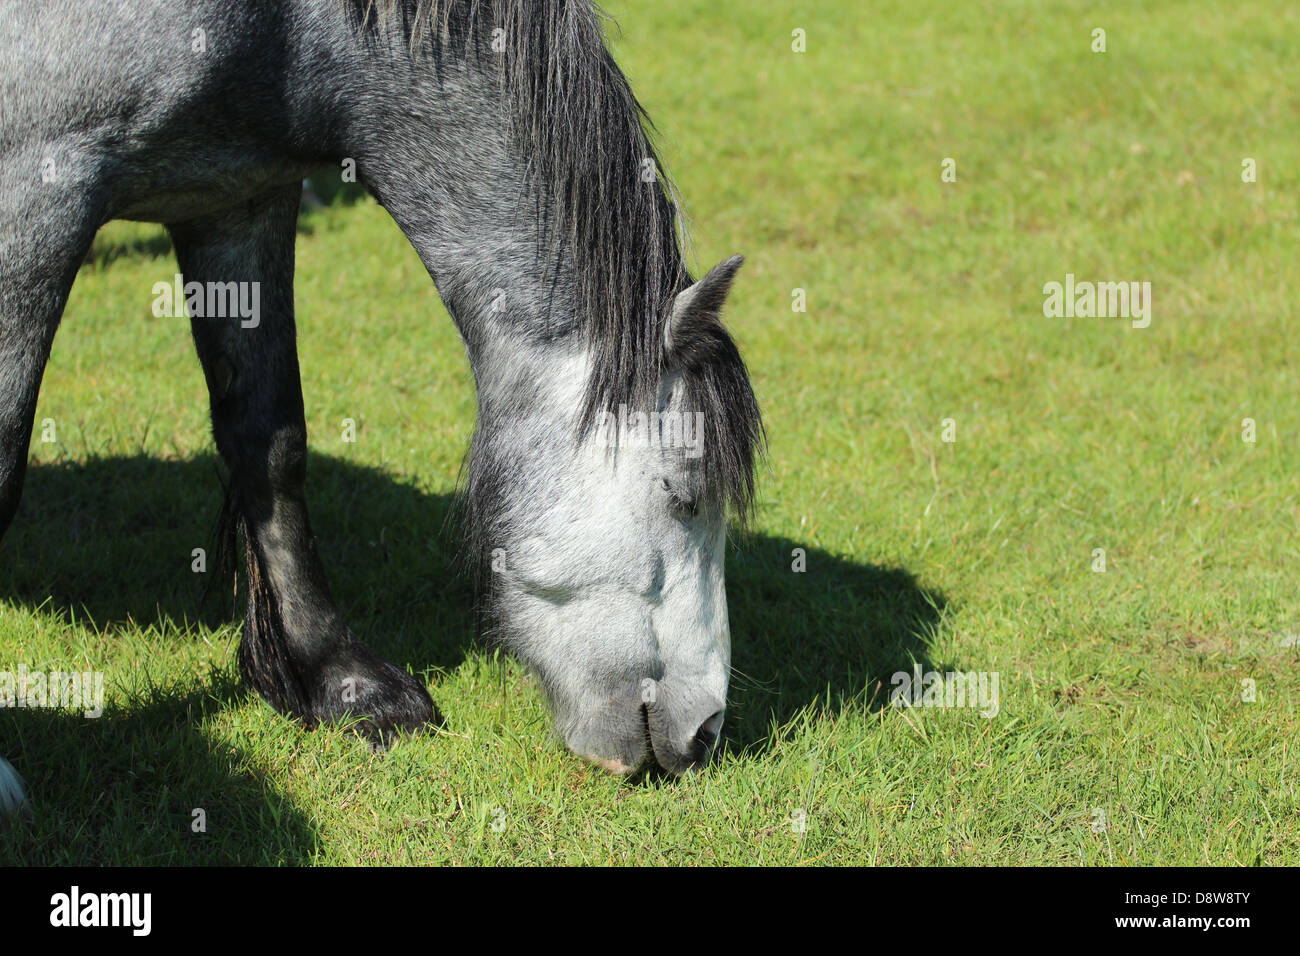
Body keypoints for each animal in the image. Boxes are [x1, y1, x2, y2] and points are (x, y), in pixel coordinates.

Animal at [0, 0, 759, 816]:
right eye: (683, 496)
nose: (705, 734)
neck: (288, 30)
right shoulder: (35, 191)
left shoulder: (237, 200)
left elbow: (270, 443)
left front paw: (344, 682)